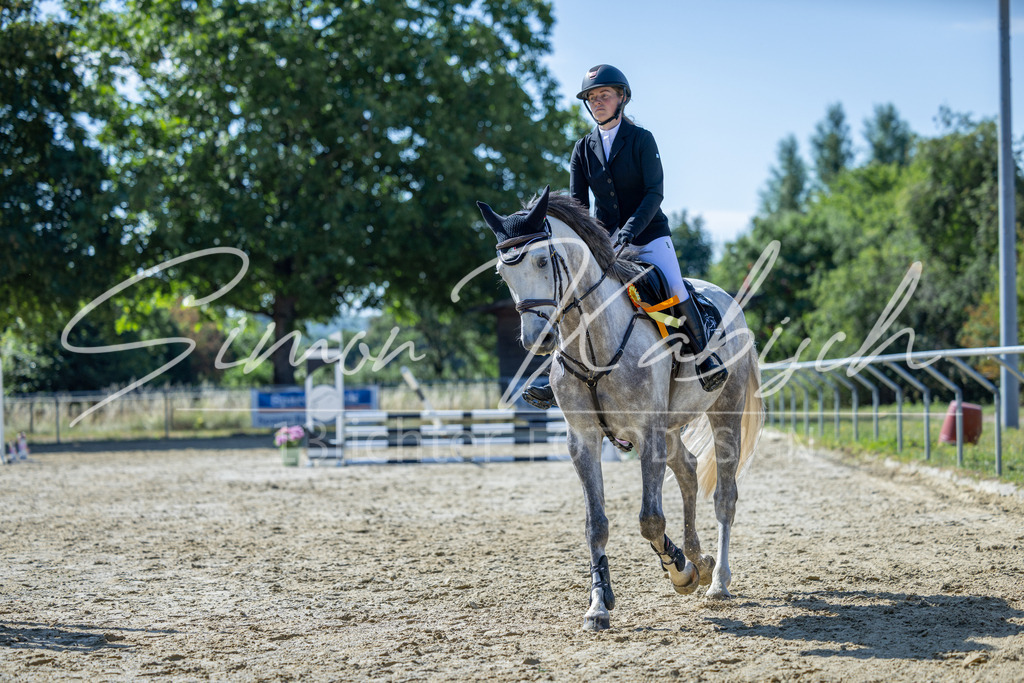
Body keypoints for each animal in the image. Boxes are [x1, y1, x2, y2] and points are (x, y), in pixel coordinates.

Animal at [477, 187, 764, 631]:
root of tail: (729, 302)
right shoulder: (583, 440)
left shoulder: (647, 433)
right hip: (670, 428)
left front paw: (678, 571)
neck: (594, 339)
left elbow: (650, 520)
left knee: (724, 497)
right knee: (688, 471)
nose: (536, 339)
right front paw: (599, 604)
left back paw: (716, 580)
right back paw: (698, 558)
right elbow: (595, 525)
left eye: (542, 260)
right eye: (502, 274)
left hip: (724, 416)